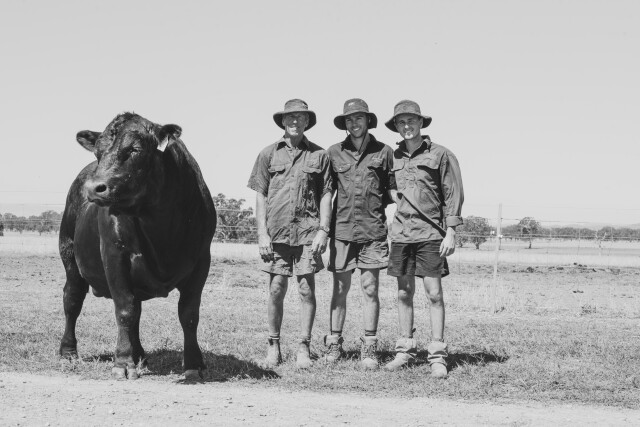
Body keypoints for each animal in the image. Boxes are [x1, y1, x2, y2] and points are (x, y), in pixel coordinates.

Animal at [58, 113, 216, 381]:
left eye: (135, 149)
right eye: (98, 152)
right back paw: (68, 352)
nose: (94, 187)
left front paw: (194, 364)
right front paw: (122, 362)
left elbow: (189, 314)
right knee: (72, 300)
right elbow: (125, 310)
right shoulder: (115, 255)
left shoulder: (201, 261)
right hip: (69, 257)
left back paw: (140, 354)